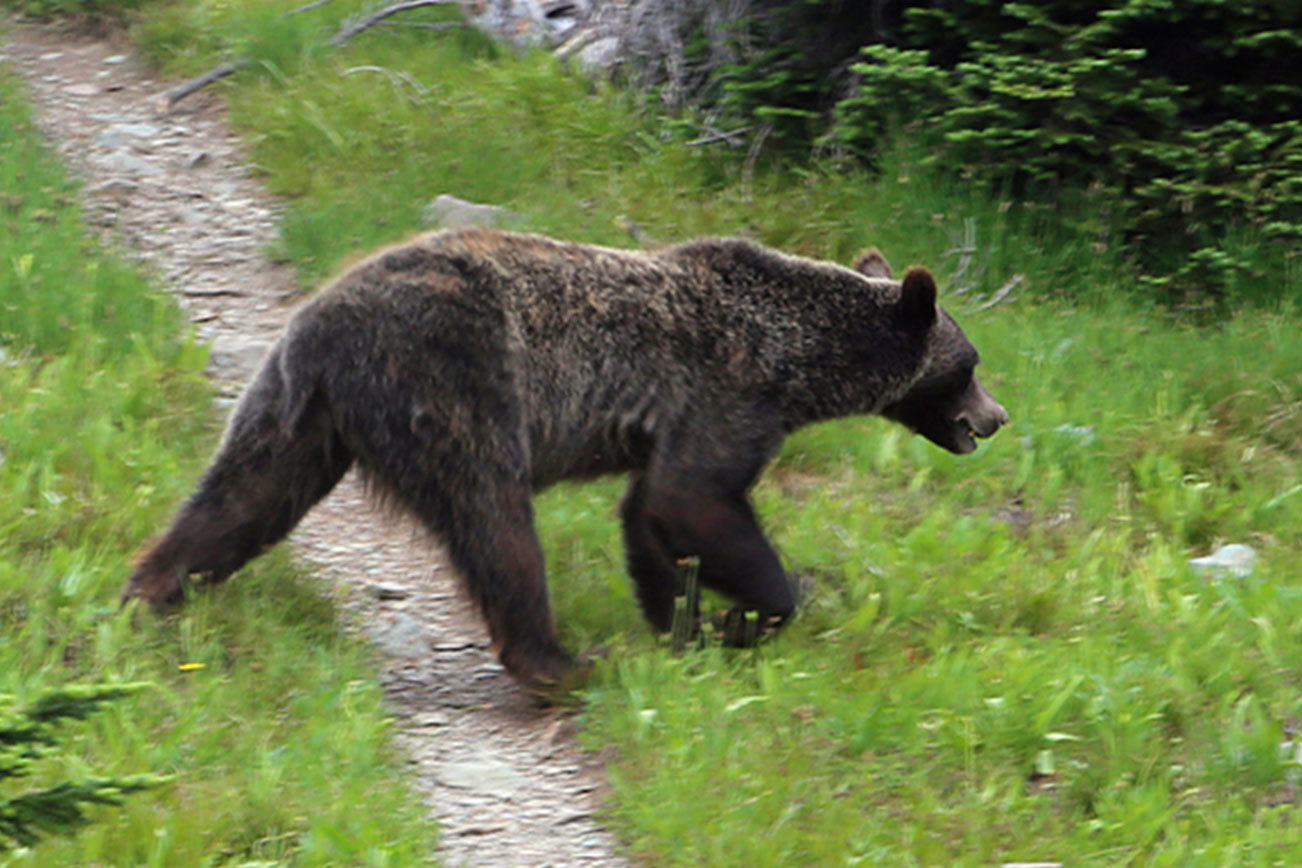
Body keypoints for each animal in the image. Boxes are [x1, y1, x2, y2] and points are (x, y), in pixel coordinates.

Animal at [126, 229, 1005, 692]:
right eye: (968, 364)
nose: (995, 417)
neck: (803, 361)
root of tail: (321, 323)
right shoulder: (729, 388)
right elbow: (696, 499)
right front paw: (758, 610)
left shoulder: (678, 419)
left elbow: (651, 514)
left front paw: (683, 625)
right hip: (455, 379)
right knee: (496, 523)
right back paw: (559, 660)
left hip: (297, 412)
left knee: (241, 497)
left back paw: (151, 592)